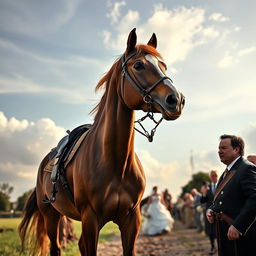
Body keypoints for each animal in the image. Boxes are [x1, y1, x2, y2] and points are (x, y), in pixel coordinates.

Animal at [19, 28, 185, 256]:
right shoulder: (91, 220)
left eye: (163, 66)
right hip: (51, 216)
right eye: (139, 65)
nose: (176, 100)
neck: (115, 163)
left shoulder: (131, 221)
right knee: (56, 247)